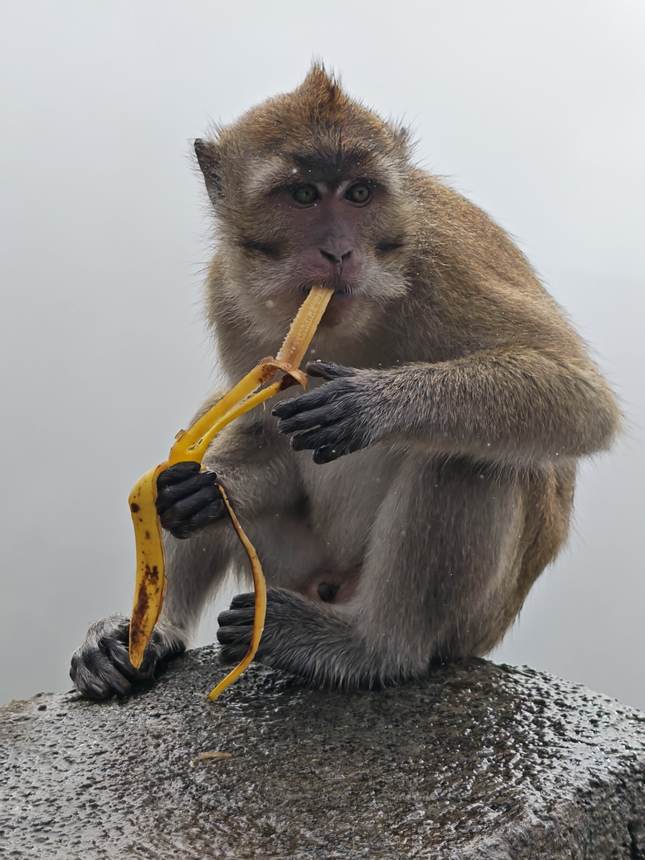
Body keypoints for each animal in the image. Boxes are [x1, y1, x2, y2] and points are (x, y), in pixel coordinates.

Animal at [70, 65, 620, 700]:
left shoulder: (444, 264)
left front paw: (369, 405)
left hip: (470, 623)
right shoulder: (225, 293)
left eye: (359, 194)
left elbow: (579, 396)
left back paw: (367, 647)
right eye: (304, 194)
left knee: (469, 455)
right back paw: (147, 633)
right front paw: (200, 489)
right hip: (291, 564)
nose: (338, 251)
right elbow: (256, 433)